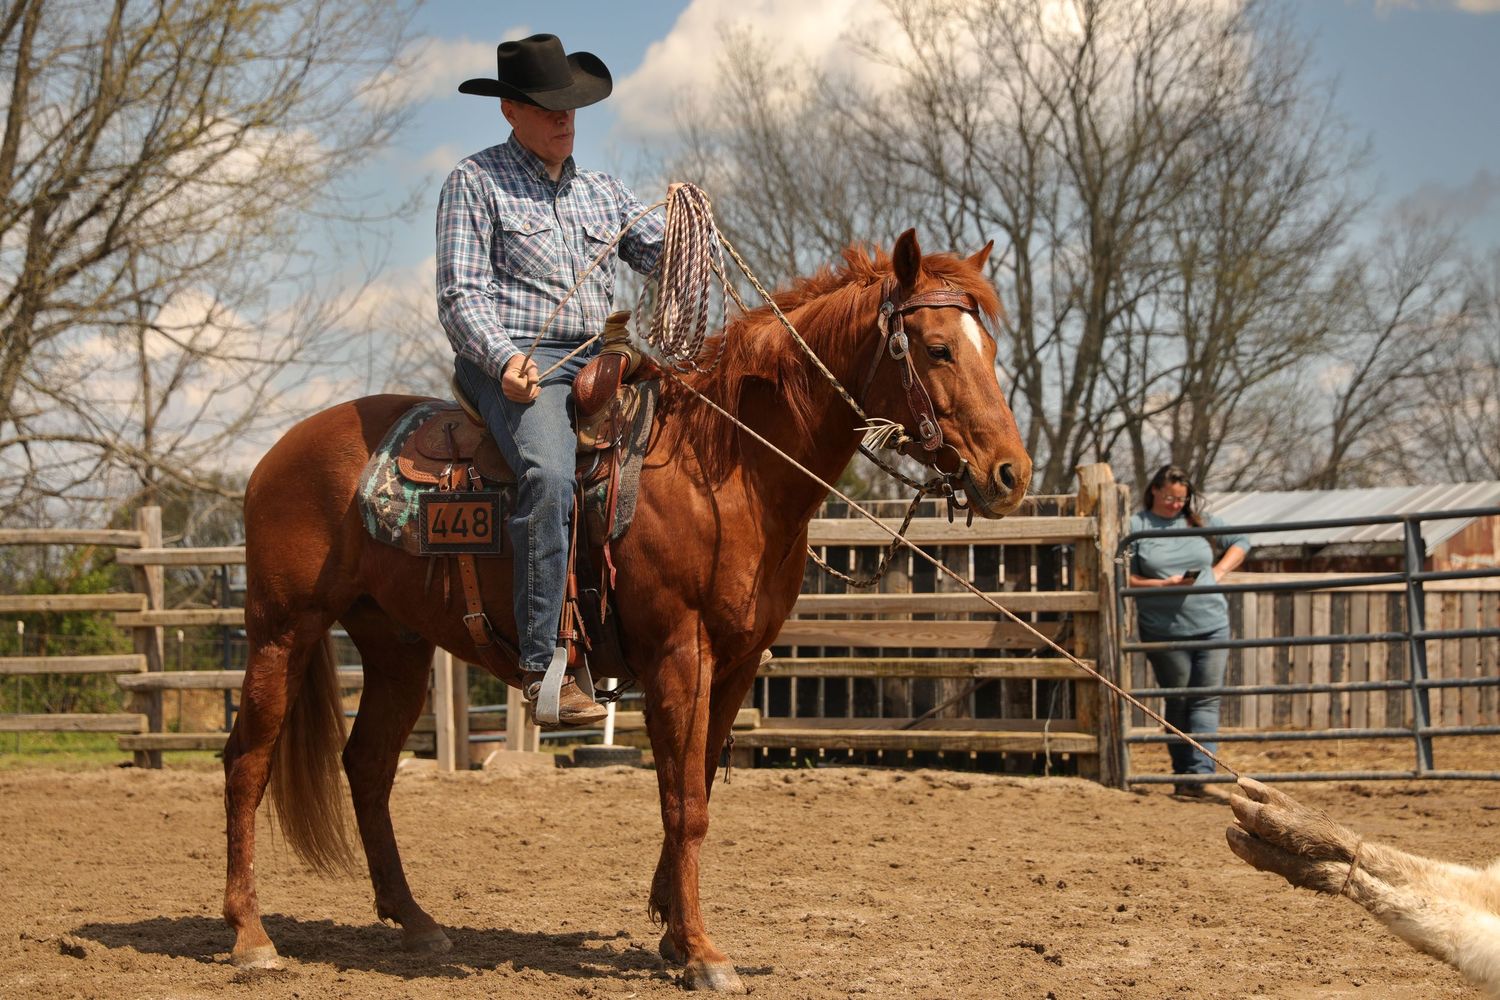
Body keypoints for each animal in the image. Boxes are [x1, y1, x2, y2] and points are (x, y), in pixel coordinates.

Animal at [221, 229, 1032, 993]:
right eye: (937, 348)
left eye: (990, 347)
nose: (1010, 475)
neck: (724, 465)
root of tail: (277, 454)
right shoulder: (680, 655)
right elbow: (685, 803)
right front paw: (703, 953)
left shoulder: (737, 662)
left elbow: (694, 787)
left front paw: (674, 931)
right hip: (282, 631)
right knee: (247, 762)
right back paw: (251, 937)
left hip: (395, 647)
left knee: (367, 766)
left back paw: (416, 922)